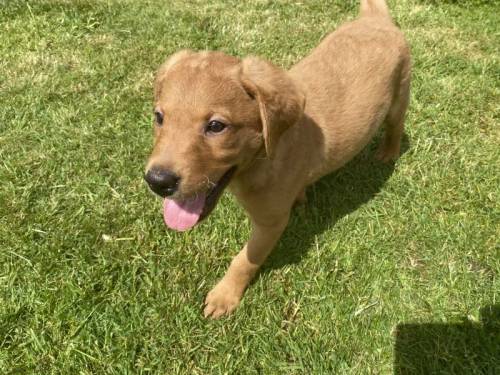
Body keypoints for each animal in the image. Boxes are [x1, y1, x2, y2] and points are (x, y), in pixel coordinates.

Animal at [145, 0, 410, 320]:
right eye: (159, 117)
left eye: (216, 126)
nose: (158, 181)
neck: (261, 159)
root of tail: (375, 18)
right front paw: (301, 197)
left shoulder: (271, 222)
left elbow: (245, 260)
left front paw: (225, 295)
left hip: (400, 95)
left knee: (396, 126)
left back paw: (388, 152)